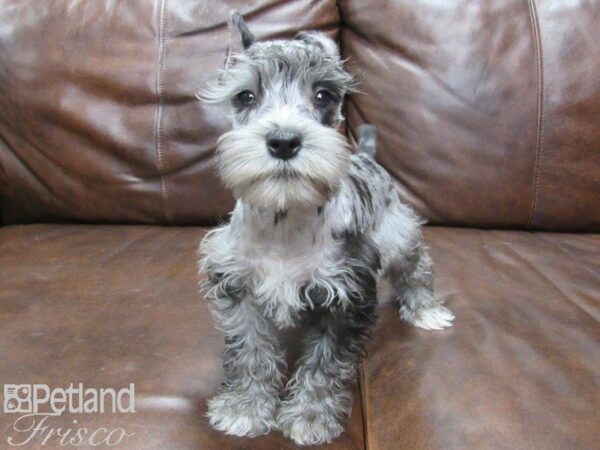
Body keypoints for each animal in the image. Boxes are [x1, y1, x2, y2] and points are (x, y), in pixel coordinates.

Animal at [198, 11, 454, 446]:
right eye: (245, 96)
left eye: (323, 95)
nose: (284, 141)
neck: (285, 221)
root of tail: (367, 156)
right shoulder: (238, 290)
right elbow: (250, 353)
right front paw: (244, 409)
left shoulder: (347, 298)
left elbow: (324, 365)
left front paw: (309, 417)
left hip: (399, 234)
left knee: (417, 266)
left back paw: (425, 309)